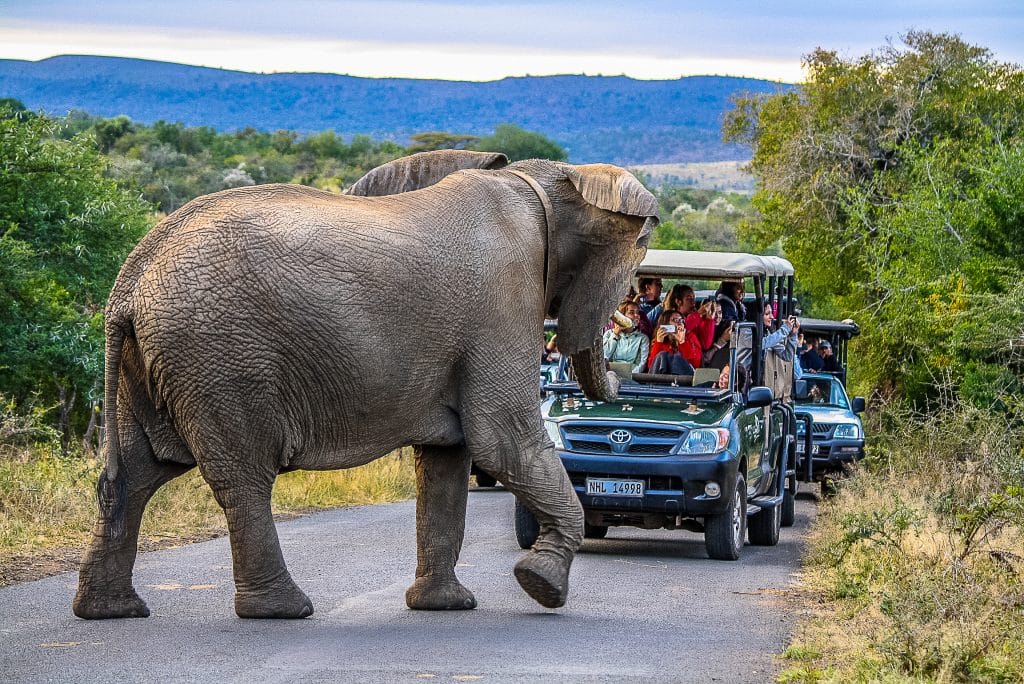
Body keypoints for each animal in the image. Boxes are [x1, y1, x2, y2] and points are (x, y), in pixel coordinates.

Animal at [72, 149, 655, 618]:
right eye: (641, 248)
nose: (628, 380)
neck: (546, 180)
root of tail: (130, 280)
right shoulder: (505, 301)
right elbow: (502, 439)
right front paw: (540, 586)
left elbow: (449, 459)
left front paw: (444, 607)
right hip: (220, 356)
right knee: (242, 476)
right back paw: (281, 610)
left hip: (158, 362)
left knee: (137, 474)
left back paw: (110, 611)